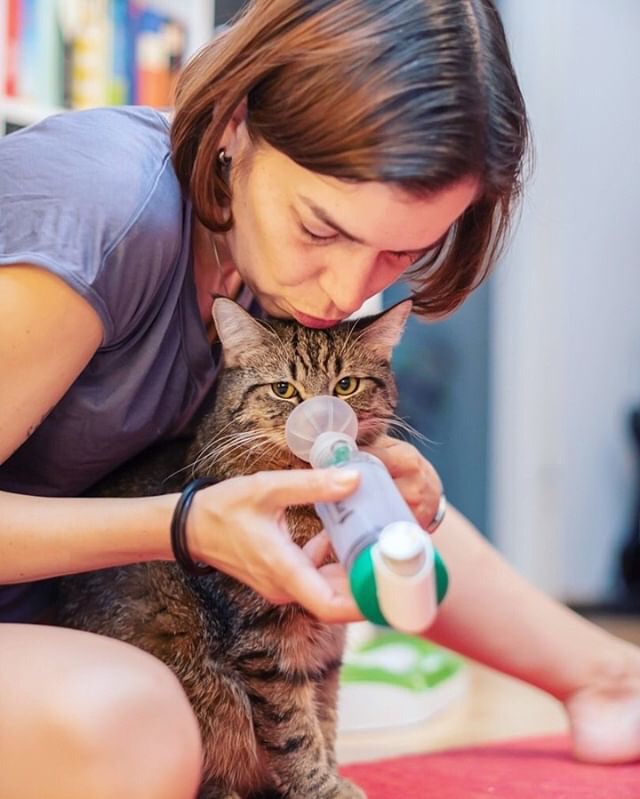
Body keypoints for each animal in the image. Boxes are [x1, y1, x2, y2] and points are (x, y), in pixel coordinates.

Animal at [57, 296, 412, 796]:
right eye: (284, 390)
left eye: (346, 386)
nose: (321, 421)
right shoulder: (267, 643)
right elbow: (295, 731)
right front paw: (321, 787)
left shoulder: (325, 649)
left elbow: (324, 717)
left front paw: (334, 775)